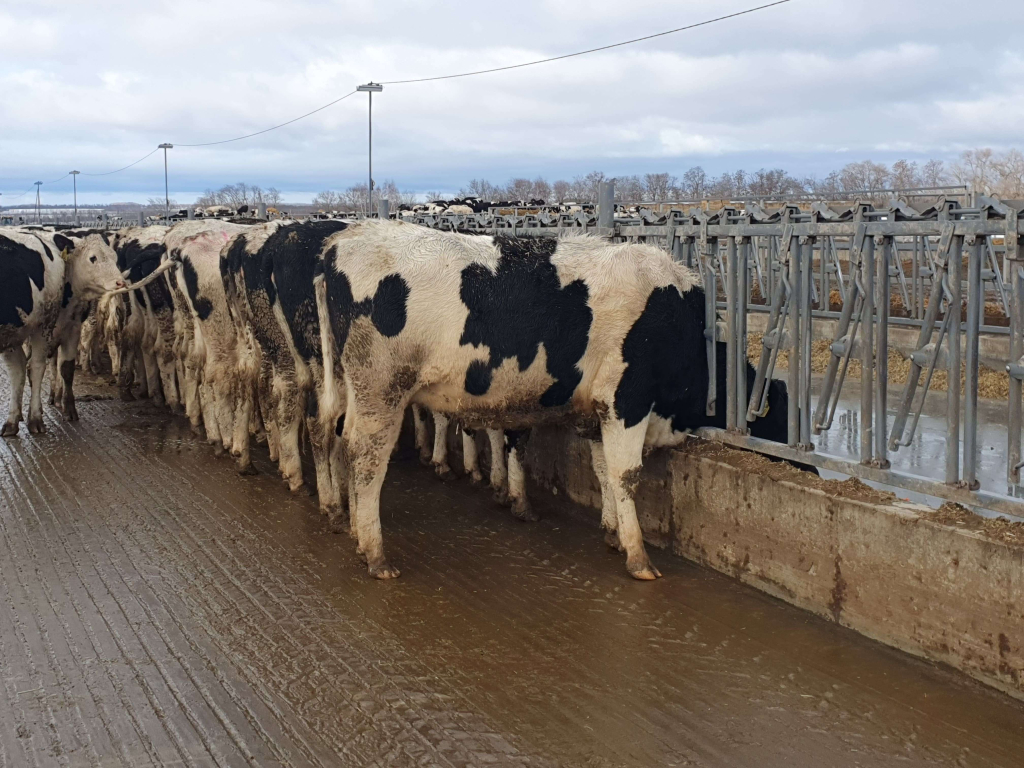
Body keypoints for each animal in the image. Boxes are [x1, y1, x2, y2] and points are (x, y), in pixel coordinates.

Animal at [1, 229, 123, 435]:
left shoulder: (71, 328)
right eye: (93, 258)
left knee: (29, 368)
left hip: (33, 329)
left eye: (115, 257)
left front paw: (69, 408)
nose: (120, 282)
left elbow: (65, 368)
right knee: (22, 368)